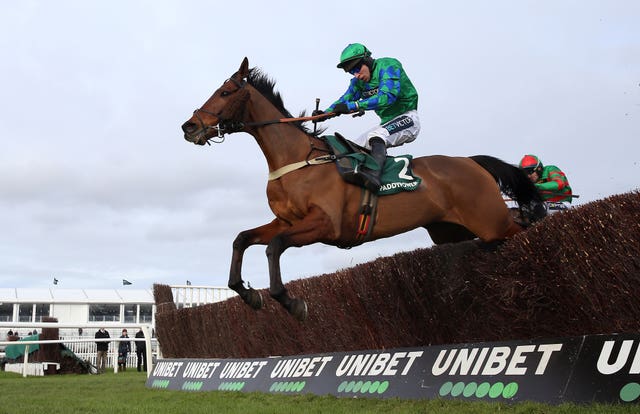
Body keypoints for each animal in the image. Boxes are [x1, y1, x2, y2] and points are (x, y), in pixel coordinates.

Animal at [182, 56, 544, 322]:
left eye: (225, 93)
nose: (190, 126)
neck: (298, 159)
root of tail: (472, 162)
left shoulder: (324, 224)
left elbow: (275, 247)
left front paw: (290, 301)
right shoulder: (286, 221)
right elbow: (242, 239)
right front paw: (248, 293)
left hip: (491, 221)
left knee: (521, 228)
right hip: (451, 231)